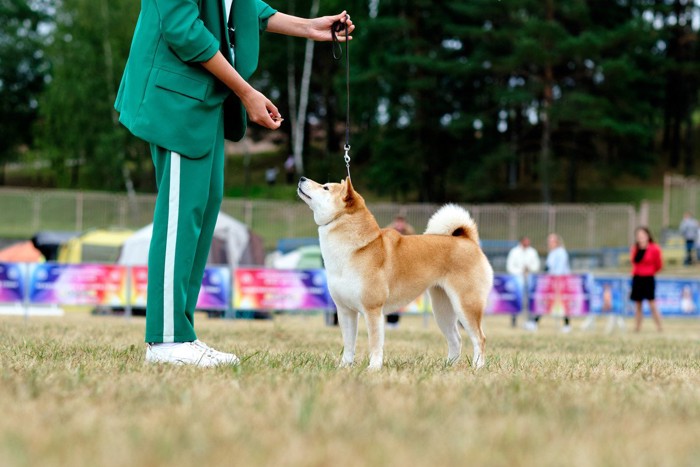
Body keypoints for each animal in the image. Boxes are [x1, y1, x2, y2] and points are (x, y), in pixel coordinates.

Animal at [298, 177, 494, 372]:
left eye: (325, 187)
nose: (302, 178)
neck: (356, 249)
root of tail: (468, 240)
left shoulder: (372, 309)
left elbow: (375, 344)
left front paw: (373, 368)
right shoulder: (345, 310)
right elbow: (348, 344)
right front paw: (344, 366)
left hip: (466, 305)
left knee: (479, 338)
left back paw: (477, 366)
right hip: (442, 309)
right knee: (456, 339)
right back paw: (447, 366)